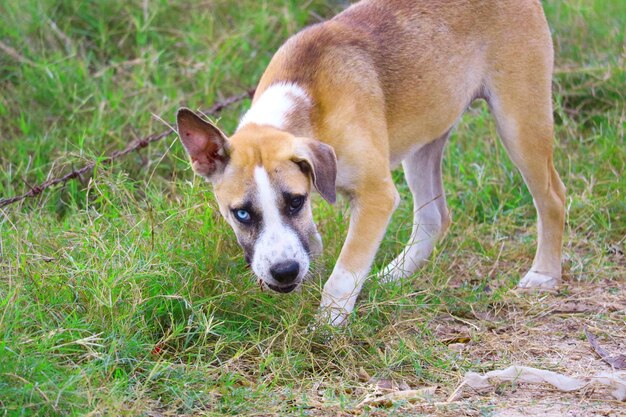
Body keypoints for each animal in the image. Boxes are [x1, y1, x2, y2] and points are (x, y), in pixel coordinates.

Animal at [174, 0, 564, 324]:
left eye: (295, 202)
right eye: (241, 213)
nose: (284, 272)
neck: (308, 103)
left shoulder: (376, 196)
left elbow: (344, 273)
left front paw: (325, 329)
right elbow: (315, 245)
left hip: (519, 122)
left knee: (553, 197)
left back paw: (544, 274)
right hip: (424, 142)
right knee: (434, 217)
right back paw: (394, 277)